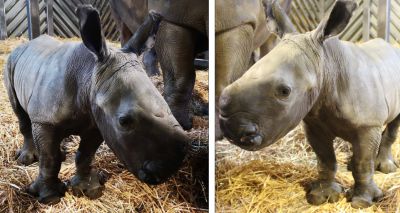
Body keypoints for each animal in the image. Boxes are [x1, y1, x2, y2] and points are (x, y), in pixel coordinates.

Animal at [4, 5, 189, 205]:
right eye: (124, 121)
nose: (167, 171)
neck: (89, 74)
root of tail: (24, 44)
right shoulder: (44, 120)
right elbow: (49, 159)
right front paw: (50, 197)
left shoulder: (98, 120)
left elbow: (85, 155)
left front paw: (89, 189)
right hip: (10, 63)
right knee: (21, 114)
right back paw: (26, 159)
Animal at [220, 0, 398, 208]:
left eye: (284, 91)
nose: (232, 130)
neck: (328, 65)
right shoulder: (314, 122)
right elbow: (325, 159)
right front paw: (322, 196)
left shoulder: (367, 125)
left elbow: (363, 162)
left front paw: (362, 201)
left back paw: (386, 168)